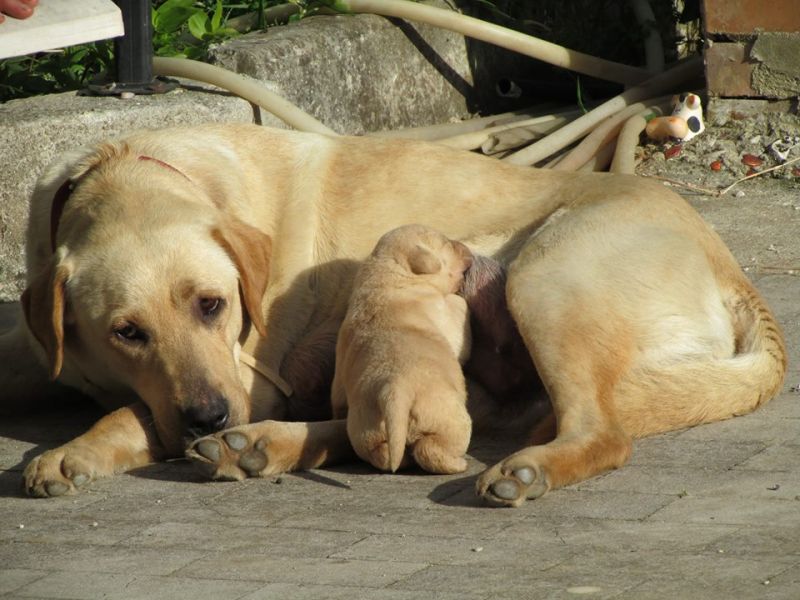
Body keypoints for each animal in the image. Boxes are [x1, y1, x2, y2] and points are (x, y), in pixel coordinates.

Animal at [332, 225, 476, 474]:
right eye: (446, 243)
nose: (466, 247)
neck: (388, 275)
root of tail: (394, 391)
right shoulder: (443, 311)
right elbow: (459, 310)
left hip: (366, 429)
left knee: (380, 452)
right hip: (449, 417)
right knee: (432, 448)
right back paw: (457, 463)